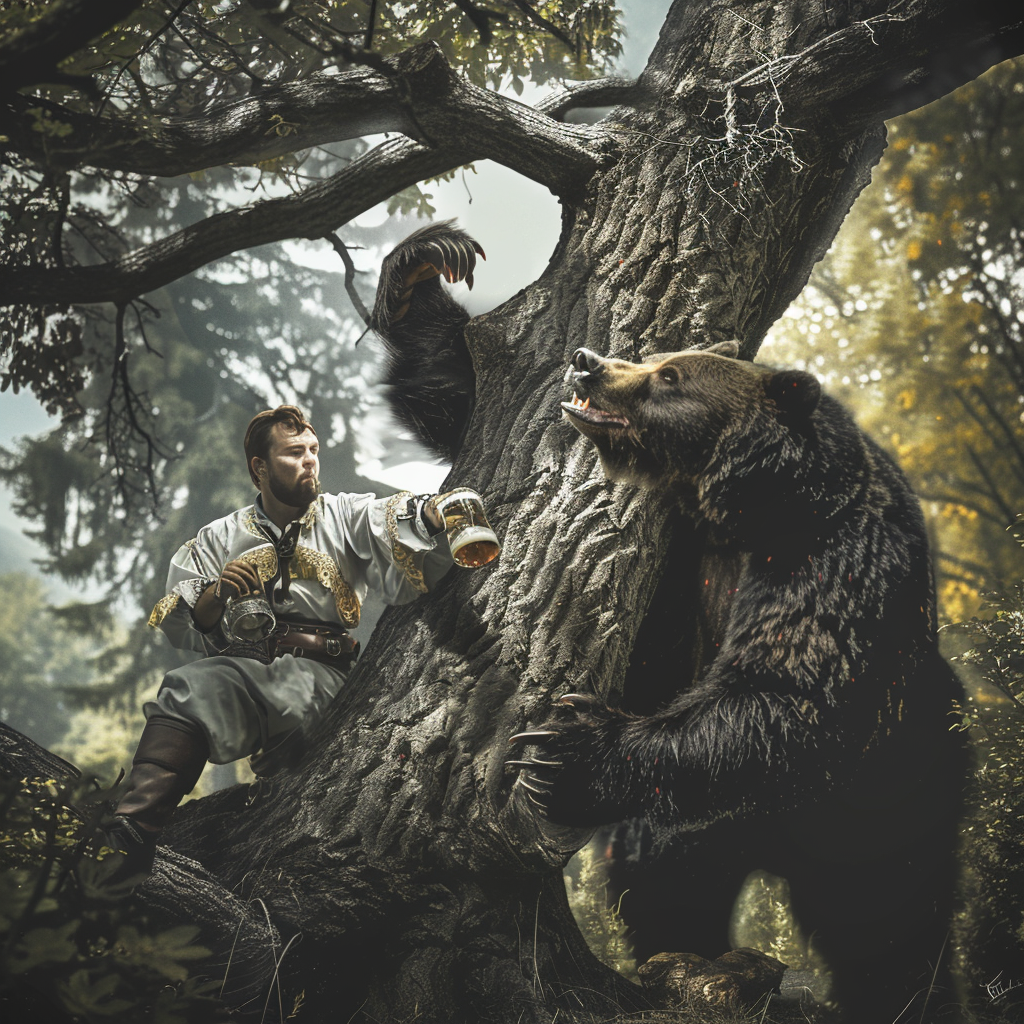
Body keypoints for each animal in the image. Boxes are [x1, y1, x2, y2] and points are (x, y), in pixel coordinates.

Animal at [374, 224, 966, 1024]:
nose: (588, 362)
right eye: (653, 357)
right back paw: (687, 959)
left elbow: (787, 689)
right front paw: (422, 266)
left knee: (889, 907)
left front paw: (564, 750)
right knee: (670, 876)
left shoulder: (830, 555)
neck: (743, 503)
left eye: (669, 377)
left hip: (898, 773)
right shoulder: (685, 546)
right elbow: (463, 402)